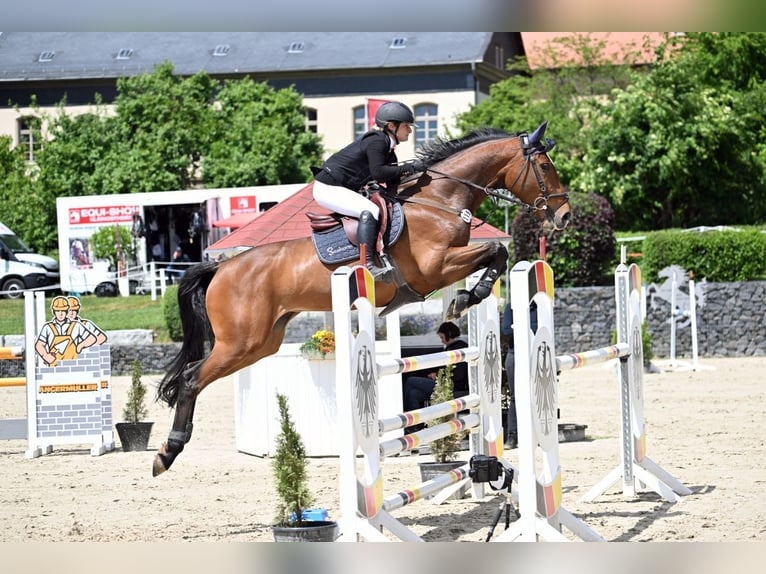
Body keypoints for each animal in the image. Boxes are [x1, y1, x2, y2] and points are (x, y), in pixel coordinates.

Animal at [152, 121, 571, 476]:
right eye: (544, 166)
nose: (564, 215)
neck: (440, 200)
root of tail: (221, 268)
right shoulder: (435, 267)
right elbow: (497, 252)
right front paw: (470, 296)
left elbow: (495, 255)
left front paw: (467, 297)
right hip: (240, 341)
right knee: (190, 379)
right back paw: (167, 452)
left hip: (260, 343)